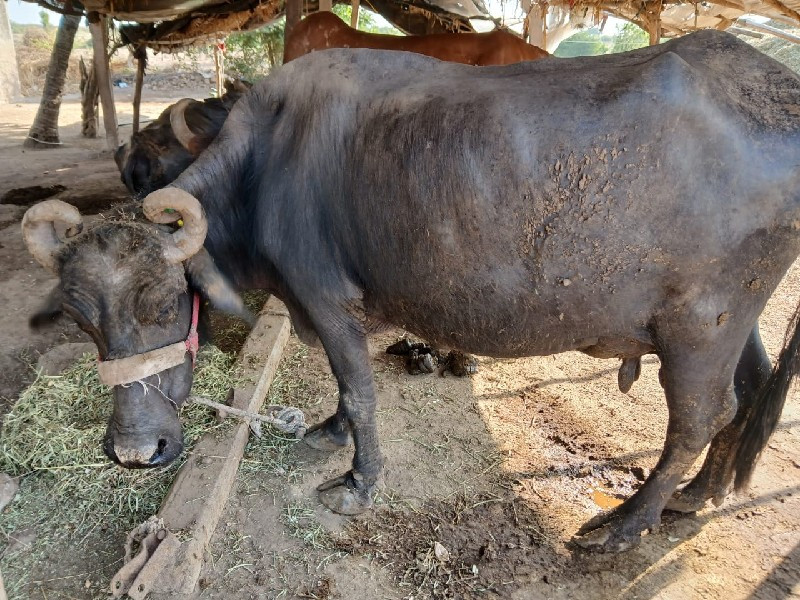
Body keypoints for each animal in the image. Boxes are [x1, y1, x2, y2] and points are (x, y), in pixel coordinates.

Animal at [23, 30, 800, 552]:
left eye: (161, 302)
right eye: (82, 321)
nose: (134, 451)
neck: (264, 165)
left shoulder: (326, 300)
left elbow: (360, 389)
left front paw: (357, 481)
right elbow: (348, 391)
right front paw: (327, 430)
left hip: (701, 326)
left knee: (701, 415)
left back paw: (625, 524)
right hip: (732, 320)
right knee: (747, 391)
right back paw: (696, 496)